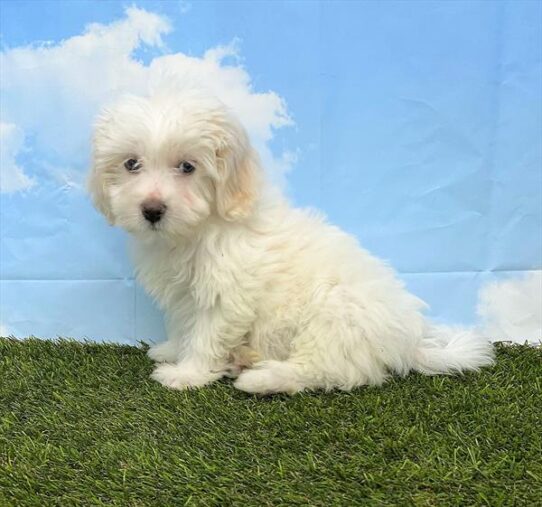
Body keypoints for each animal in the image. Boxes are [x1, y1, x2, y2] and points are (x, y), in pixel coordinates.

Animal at [90, 91, 498, 394]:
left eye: (188, 167)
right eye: (131, 164)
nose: (151, 210)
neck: (199, 230)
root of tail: (407, 342)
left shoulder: (226, 295)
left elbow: (206, 335)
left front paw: (186, 374)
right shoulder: (183, 295)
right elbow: (181, 324)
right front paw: (171, 350)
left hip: (333, 316)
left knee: (328, 371)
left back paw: (260, 378)